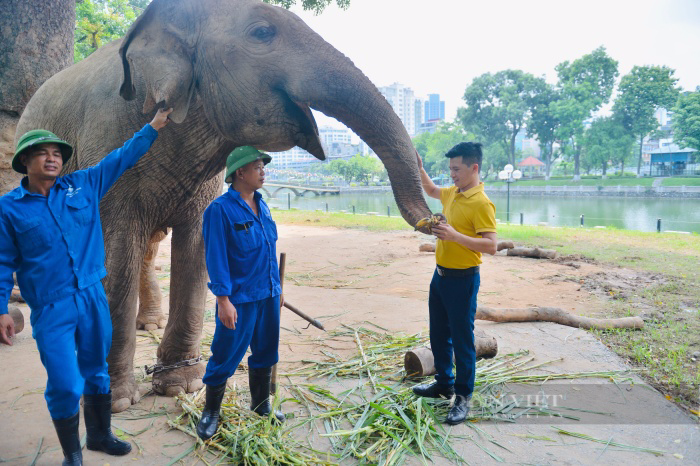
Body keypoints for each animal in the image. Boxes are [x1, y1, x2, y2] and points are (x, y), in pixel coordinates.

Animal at [15, 0, 432, 412]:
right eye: (262, 32)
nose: (433, 221)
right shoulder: (106, 146)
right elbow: (116, 254)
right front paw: (115, 402)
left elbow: (199, 245)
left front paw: (181, 386)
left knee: (147, 248)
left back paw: (148, 325)